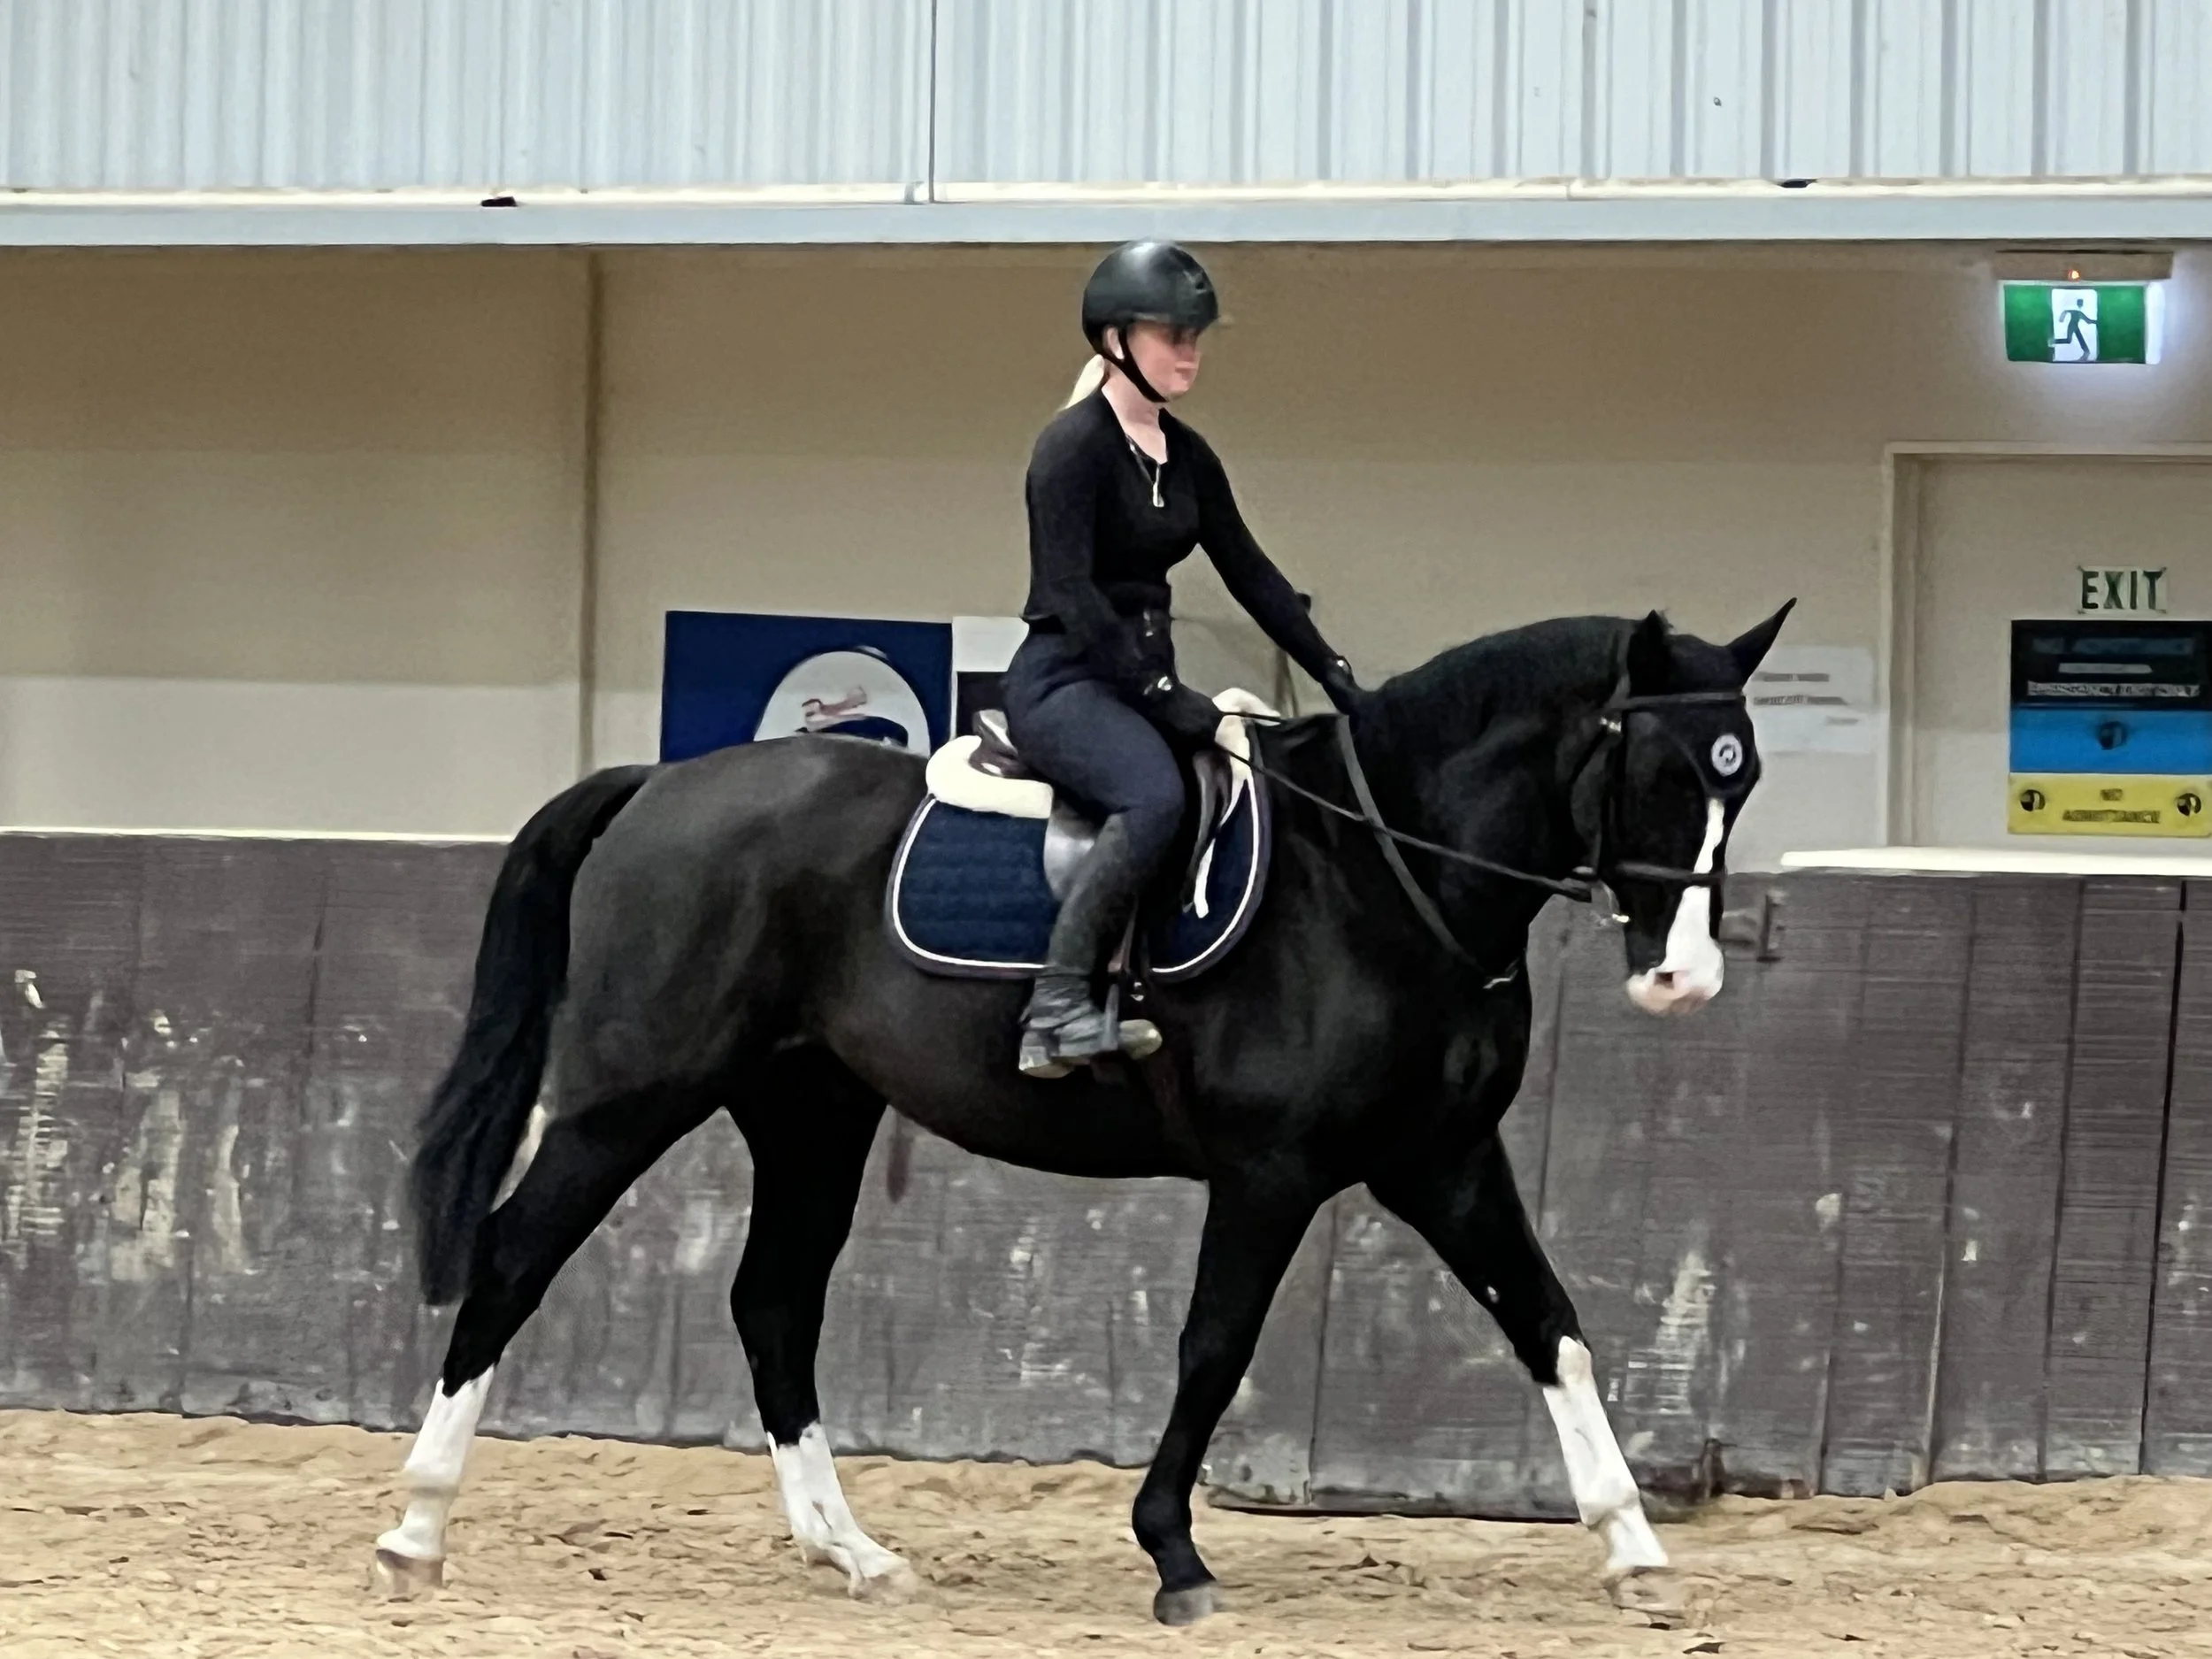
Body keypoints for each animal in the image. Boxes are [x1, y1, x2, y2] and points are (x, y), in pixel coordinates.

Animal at [372, 602, 1792, 1625]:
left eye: (1745, 775)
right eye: (1661, 768)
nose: (1685, 978)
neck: (1381, 874)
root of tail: (658, 788)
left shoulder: (1442, 1160)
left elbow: (1553, 1328)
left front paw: (1635, 1547)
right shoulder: (1271, 1172)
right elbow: (1213, 1349)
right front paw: (1175, 1556)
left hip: (811, 1113)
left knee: (773, 1305)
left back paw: (854, 1552)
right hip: (631, 1097)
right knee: (512, 1259)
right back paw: (415, 1528)